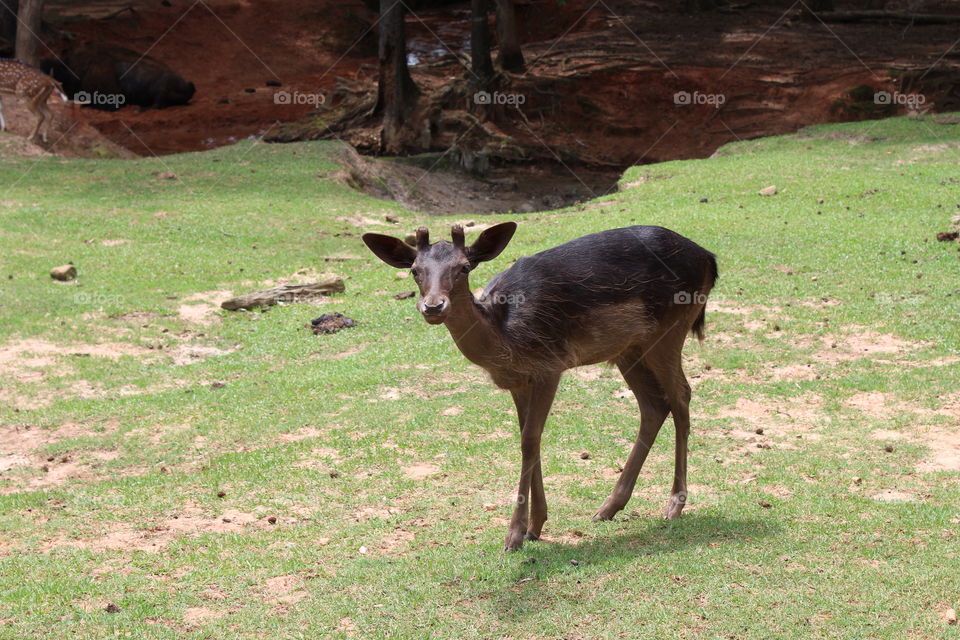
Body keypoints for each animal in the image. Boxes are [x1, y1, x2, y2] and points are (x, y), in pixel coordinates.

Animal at [363, 223, 717, 551]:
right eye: (414, 270)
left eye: (464, 267)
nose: (434, 306)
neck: (506, 339)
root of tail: (709, 258)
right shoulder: (519, 382)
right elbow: (526, 439)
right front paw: (535, 527)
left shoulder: (550, 365)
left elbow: (530, 441)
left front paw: (514, 536)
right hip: (628, 348)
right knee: (653, 404)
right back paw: (608, 507)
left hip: (670, 329)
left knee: (681, 395)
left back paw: (674, 505)